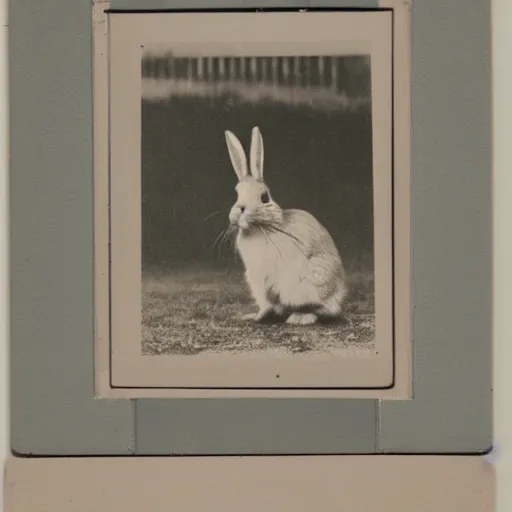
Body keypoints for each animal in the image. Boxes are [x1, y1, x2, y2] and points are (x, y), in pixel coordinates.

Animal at [224, 126, 348, 324]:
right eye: (237, 194)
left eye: (264, 197)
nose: (240, 209)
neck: (260, 228)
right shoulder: (259, 283)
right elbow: (267, 304)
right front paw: (256, 316)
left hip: (310, 281)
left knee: (319, 309)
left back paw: (300, 318)